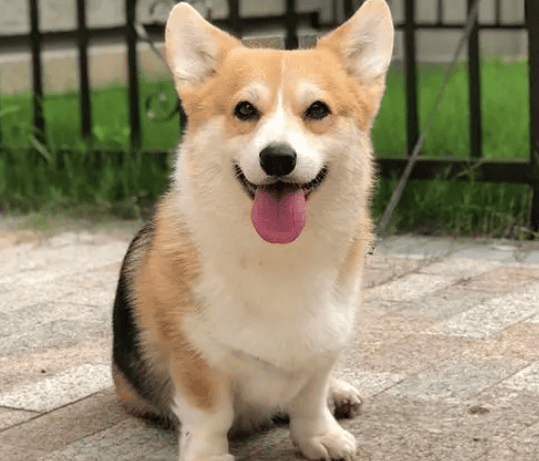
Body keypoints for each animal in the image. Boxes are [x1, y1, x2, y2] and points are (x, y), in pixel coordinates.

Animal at [113, 1, 392, 458]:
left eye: (317, 110)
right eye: (245, 110)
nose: (277, 157)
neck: (277, 254)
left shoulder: (324, 340)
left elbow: (311, 396)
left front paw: (320, 435)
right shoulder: (194, 355)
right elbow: (209, 413)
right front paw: (208, 453)